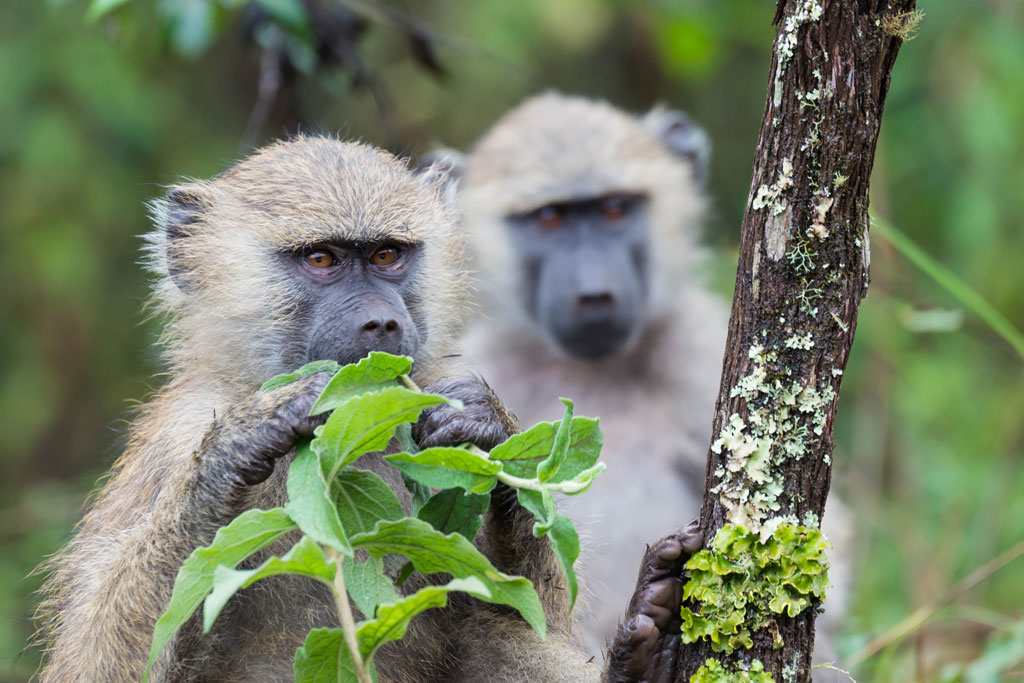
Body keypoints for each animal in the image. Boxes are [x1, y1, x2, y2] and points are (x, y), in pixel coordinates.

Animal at [33, 134, 700, 682]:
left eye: (386, 256)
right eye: (321, 259)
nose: (381, 321)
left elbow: (532, 610)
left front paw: (482, 426)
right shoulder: (177, 439)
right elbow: (96, 665)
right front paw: (243, 442)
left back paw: (645, 660)